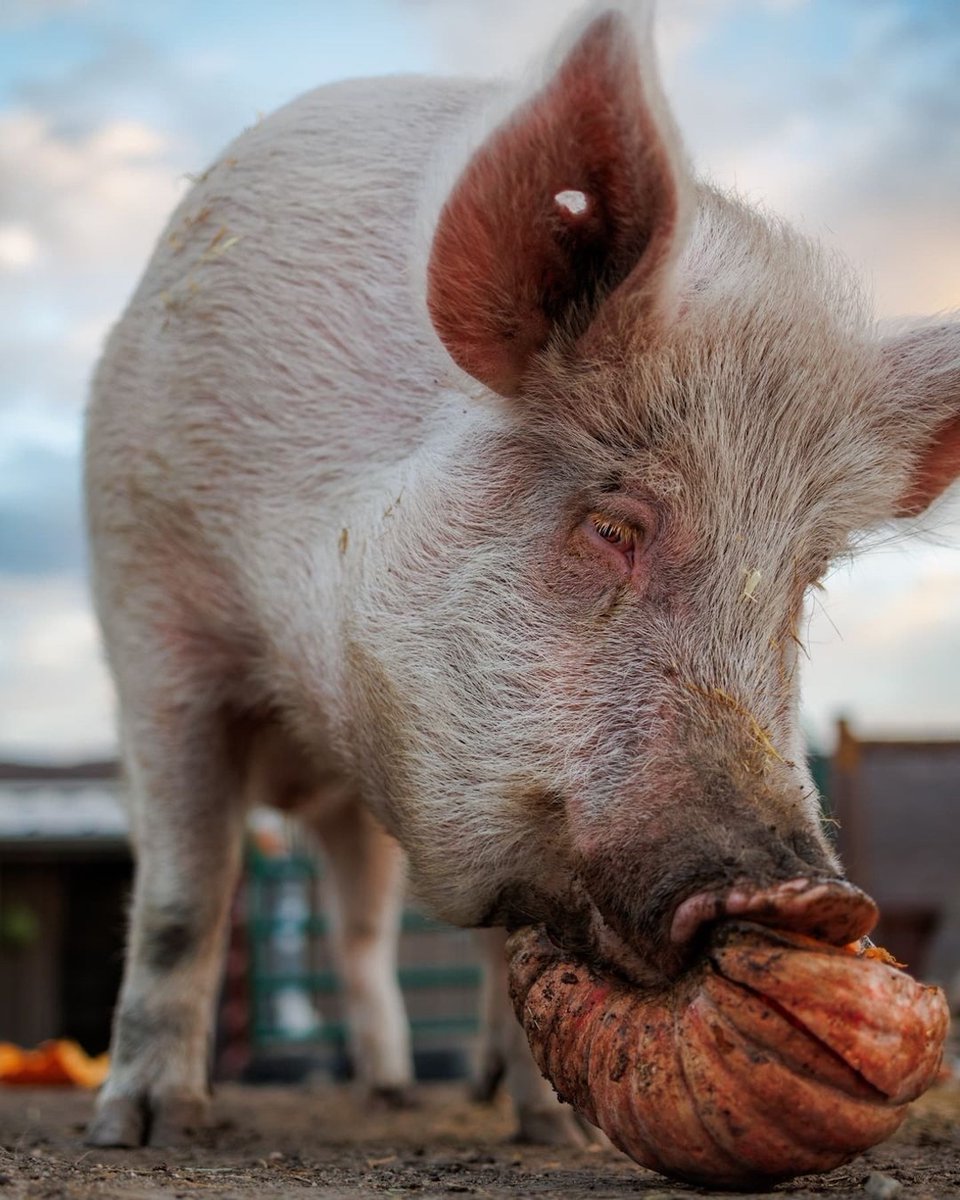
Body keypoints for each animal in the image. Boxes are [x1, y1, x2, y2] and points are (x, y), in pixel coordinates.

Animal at [83, 0, 960, 1149]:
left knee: (370, 937)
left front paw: (567, 1136)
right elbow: (184, 896)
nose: (817, 897)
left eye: (803, 579)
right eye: (614, 523)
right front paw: (145, 1126)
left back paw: (430, 1097)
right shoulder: (154, 608)